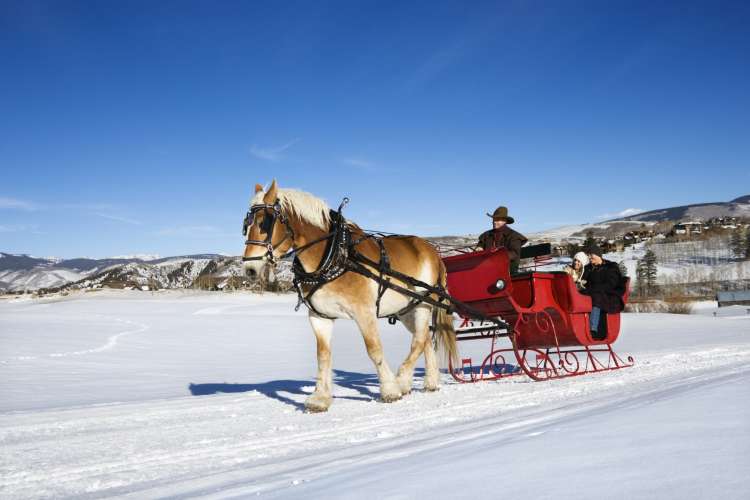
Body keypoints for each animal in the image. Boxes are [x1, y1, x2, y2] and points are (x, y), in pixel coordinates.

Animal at [242, 182, 458, 412]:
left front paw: (390, 390)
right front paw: (320, 398)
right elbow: (323, 355)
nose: (250, 269)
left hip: (423, 304)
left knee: (418, 340)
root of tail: (433, 252)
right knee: (424, 338)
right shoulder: (320, 317)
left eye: (264, 223)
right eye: (246, 224)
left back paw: (402, 380)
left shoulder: (364, 312)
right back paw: (430, 382)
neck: (335, 255)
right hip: (406, 310)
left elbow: (374, 349)